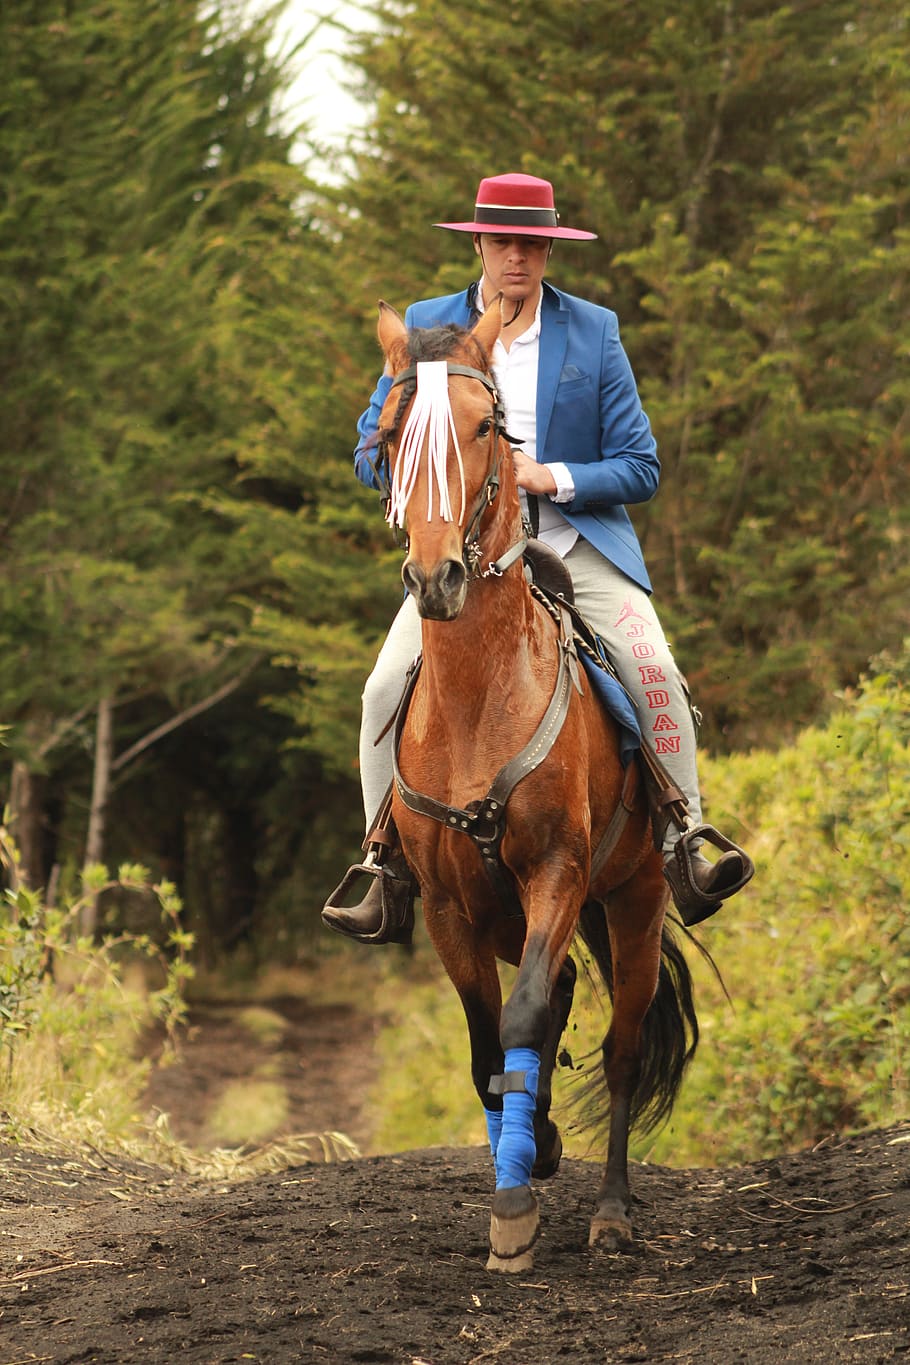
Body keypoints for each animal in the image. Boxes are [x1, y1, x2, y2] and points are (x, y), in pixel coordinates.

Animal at [371, 298, 698, 1266]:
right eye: (390, 432)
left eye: (488, 428)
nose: (435, 576)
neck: (481, 694)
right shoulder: (449, 906)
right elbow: (489, 1046)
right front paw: (527, 1156)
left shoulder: (556, 871)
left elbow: (518, 1026)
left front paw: (518, 1202)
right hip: (516, 917)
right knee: (553, 1000)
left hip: (633, 900)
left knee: (620, 1044)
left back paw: (612, 1209)